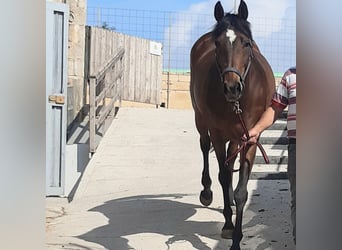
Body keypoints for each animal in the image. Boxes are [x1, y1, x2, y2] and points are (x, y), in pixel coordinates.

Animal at [190, 0, 276, 249]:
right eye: (217, 44)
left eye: (246, 43)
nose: (231, 87)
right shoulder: (218, 134)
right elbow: (224, 177)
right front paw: (229, 226)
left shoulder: (251, 138)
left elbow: (240, 191)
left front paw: (237, 238)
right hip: (201, 121)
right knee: (205, 148)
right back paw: (207, 192)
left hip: (237, 138)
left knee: (229, 163)